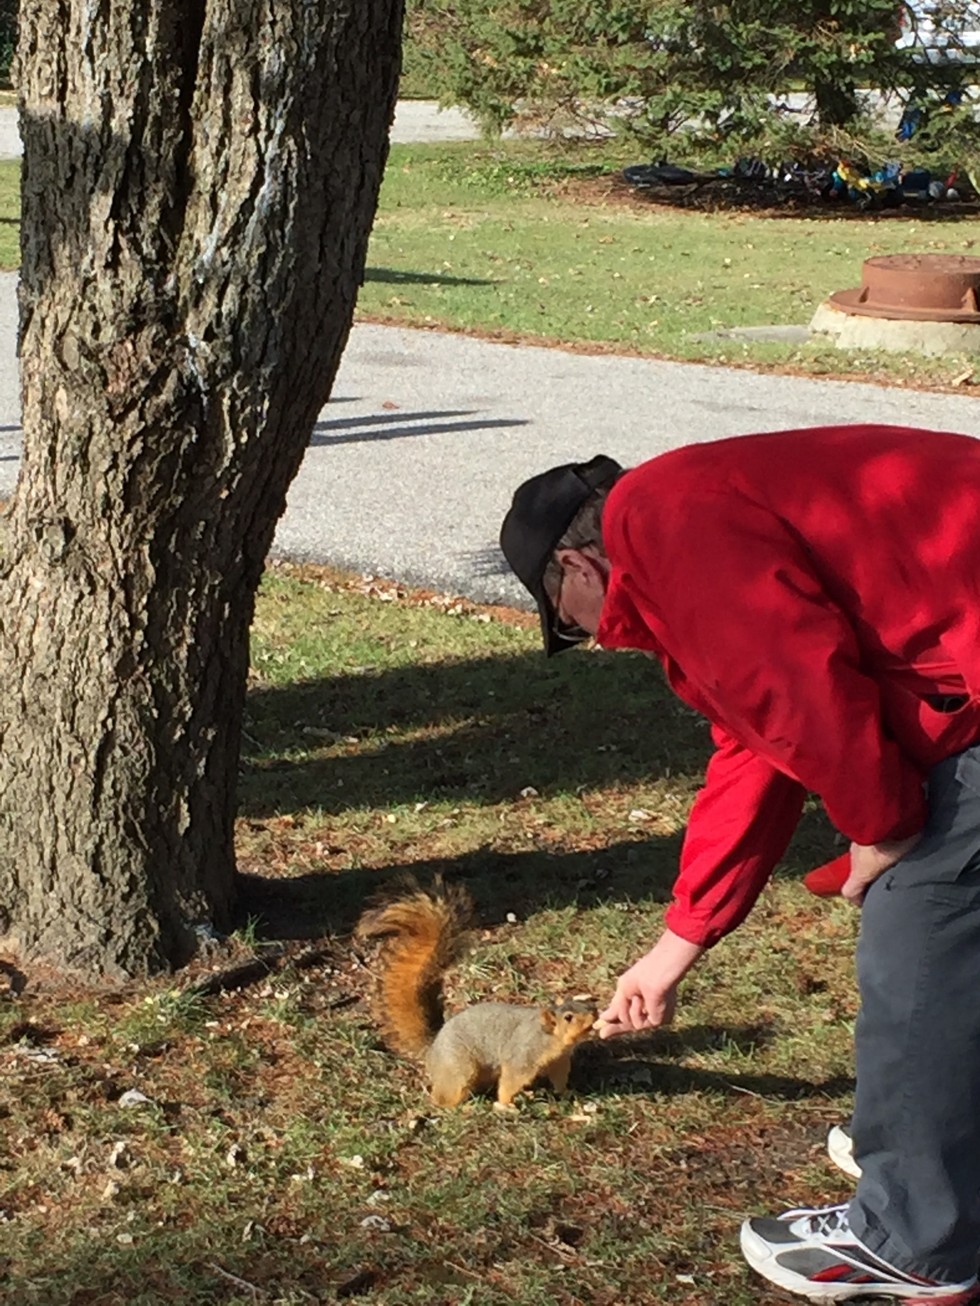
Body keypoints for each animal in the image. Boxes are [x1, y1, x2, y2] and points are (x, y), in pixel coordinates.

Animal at [356, 878, 597, 1108]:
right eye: (568, 1018)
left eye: (587, 1005)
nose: (595, 1014)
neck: (550, 1038)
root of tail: (432, 1050)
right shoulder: (522, 1056)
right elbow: (510, 1080)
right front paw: (506, 1105)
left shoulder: (558, 1061)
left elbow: (559, 1079)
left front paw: (568, 1093)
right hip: (460, 1067)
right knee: (443, 1099)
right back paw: (463, 1108)